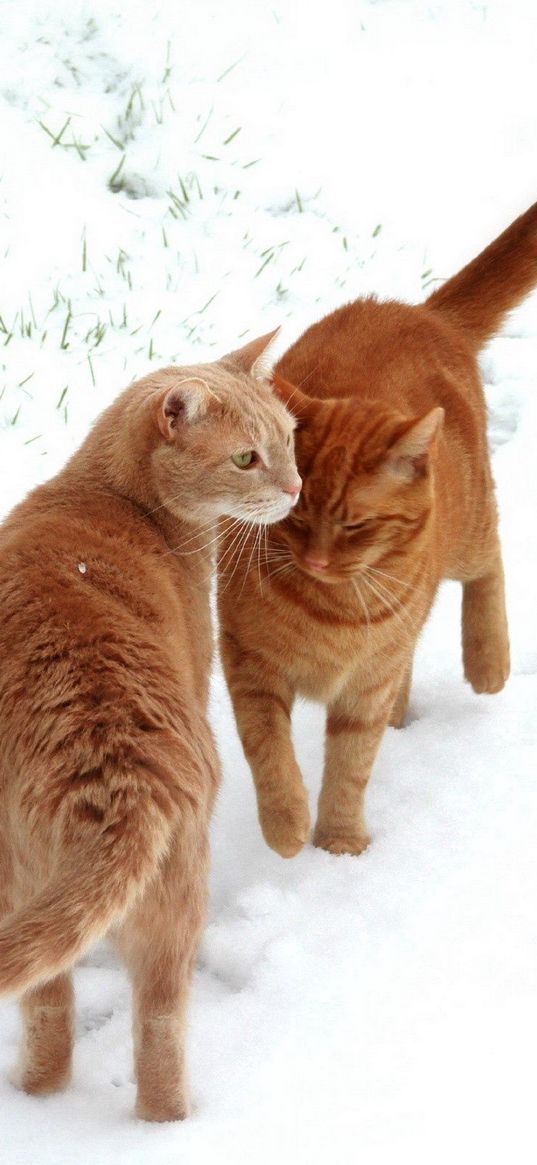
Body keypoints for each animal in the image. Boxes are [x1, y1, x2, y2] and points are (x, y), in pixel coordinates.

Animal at [0, 330, 300, 1118]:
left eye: (289, 440)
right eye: (246, 458)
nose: (295, 489)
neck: (107, 494)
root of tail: (113, 771)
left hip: (21, 880)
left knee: (48, 1006)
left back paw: (37, 1099)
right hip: (175, 897)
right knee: (159, 1023)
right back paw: (171, 1122)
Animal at [217, 202, 535, 857]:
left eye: (355, 525)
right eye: (296, 514)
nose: (315, 560)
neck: (329, 607)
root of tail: (421, 311)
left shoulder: (365, 687)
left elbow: (350, 766)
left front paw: (339, 846)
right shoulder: (250, 666)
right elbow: (271, 755)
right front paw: (288, 827)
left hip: (467, 534)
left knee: (490, 562)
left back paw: (488, 662)